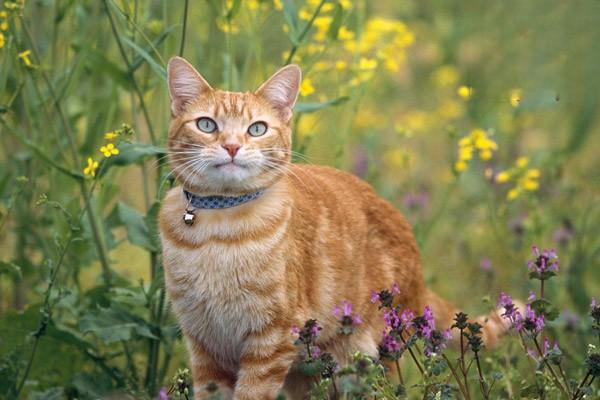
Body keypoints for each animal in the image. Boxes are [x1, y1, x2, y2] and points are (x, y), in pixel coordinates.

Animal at [161, 57, 510, 400]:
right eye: (207, 125)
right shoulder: (204, 344)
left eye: (257, 129)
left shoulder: (270, 342)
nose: (232, 146)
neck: (217, 230)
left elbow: (251, 393)